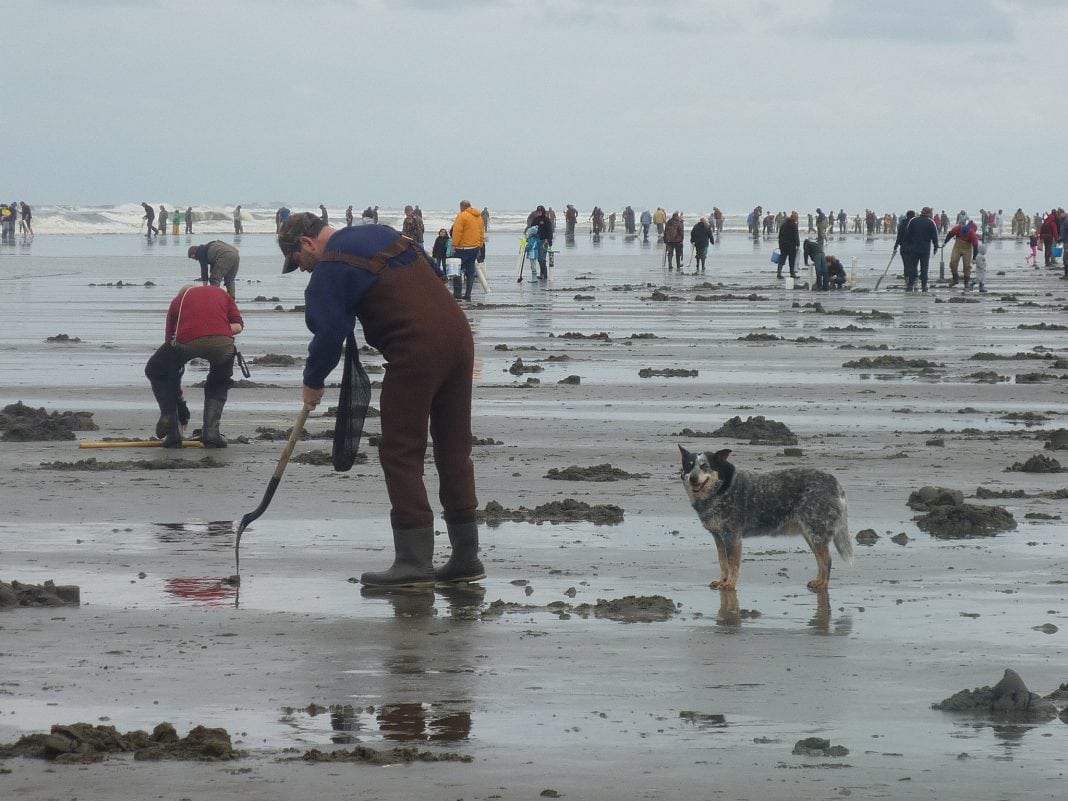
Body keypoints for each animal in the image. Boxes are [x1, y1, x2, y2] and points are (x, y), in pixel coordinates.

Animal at [683, 448, 850, 593]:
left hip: (816, 533)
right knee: (821, 560)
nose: (693, 478)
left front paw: (730, 584)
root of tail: (834, 481)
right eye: (689, 466)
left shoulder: (732, 537)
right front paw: (722, 581)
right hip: (811, 535)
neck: (720, 490)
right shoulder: (718, 537)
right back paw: (818, 581)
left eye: (705, 466)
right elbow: (723, 563)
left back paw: (823, 584)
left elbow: (733, 564)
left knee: (827, 560)